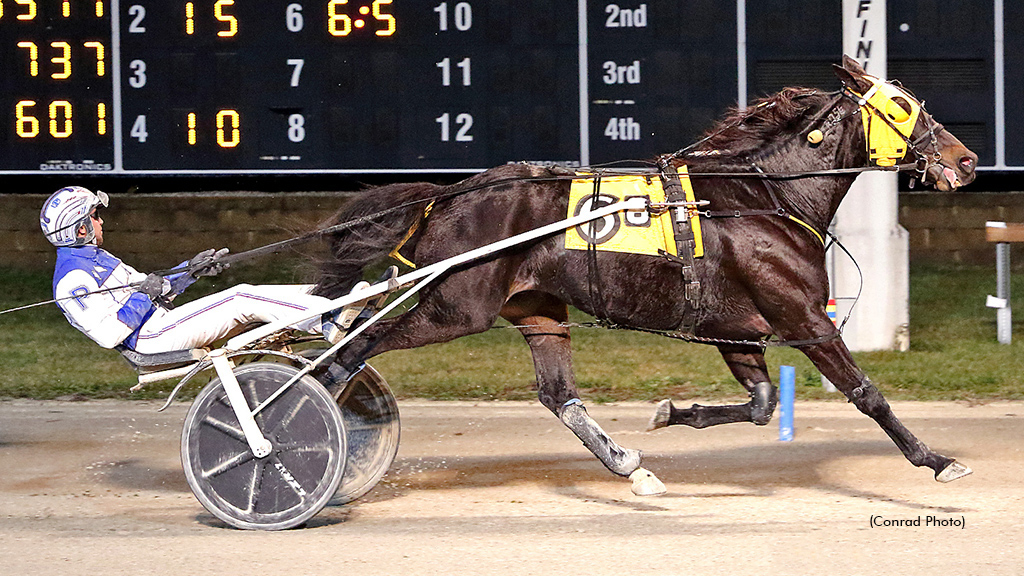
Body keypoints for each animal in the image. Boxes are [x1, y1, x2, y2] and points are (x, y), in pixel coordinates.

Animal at [311, 57, 974, 487]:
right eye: (903, 108)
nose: (966, 161)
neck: (765, 196)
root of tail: (448, 196)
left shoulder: (737, 329)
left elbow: (762, 403)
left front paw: (674, 413)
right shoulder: (804, 319)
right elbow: (866, 394)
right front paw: (936, 460)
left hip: (538, 310)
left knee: (557, 394)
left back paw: (628, 465)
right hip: (457, 307)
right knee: (357, 347)